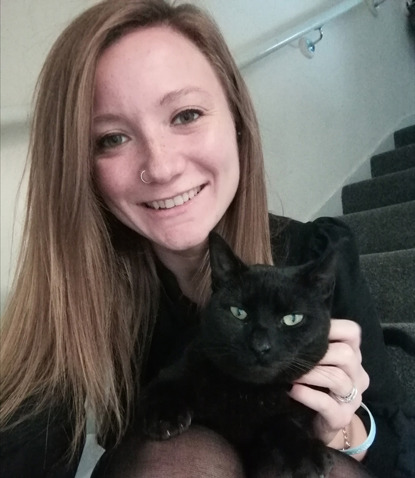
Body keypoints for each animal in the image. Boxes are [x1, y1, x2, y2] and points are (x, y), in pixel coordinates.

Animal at [140, 232, 374, 478]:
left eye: (292, 319)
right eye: (239, 313)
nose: (261, 346)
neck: (248, 393)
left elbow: (285, 422)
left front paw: (306, 454)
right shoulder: (185, 363)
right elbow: (166, 384)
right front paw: (164, 415)